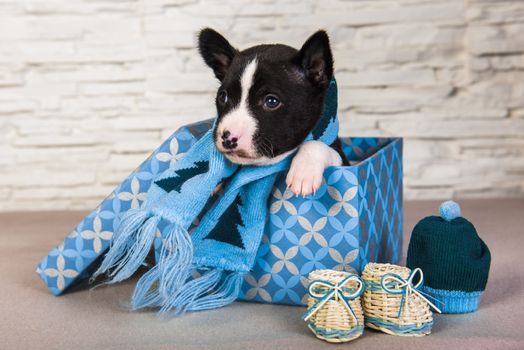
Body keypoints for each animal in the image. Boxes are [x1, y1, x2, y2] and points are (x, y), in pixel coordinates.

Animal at [199, 28, 350, 197]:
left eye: (271, 101)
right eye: (223, 97)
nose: (227, 137)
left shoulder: (343, 161)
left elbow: (316, 144)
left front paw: (304, 171)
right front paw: (218, 181)